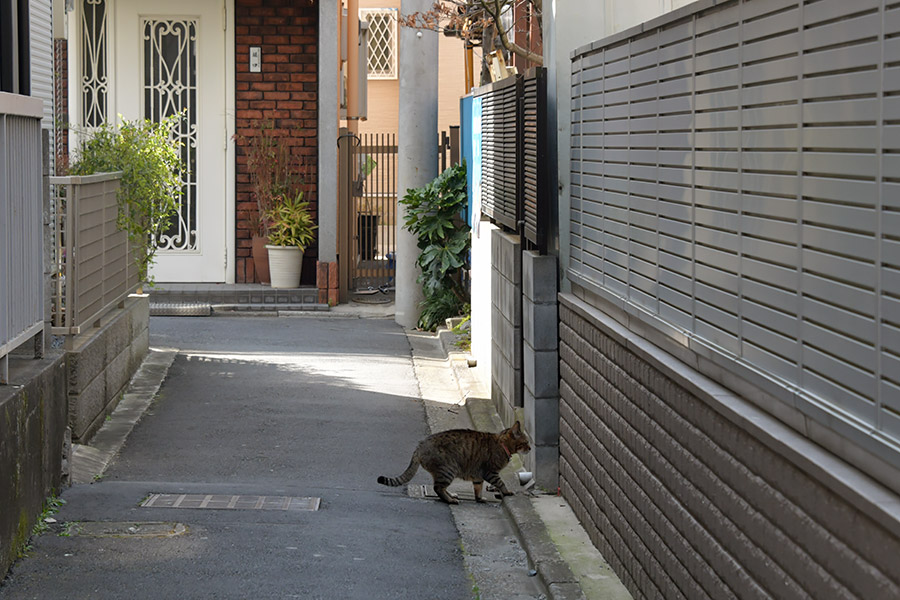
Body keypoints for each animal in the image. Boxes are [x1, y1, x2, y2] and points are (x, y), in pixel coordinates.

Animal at [376, 420, 532, 504]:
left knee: (440, 487)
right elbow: (501, 483)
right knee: (438, 488)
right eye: (526, 442)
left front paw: (479, 498)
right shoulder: (490, 472)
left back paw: (452, 496)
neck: (502, 444)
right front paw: (507, 492)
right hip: (449, 470)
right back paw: (450, 500)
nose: (530, 448)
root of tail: (419, 447)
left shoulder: (478, 475)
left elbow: (478, 488)